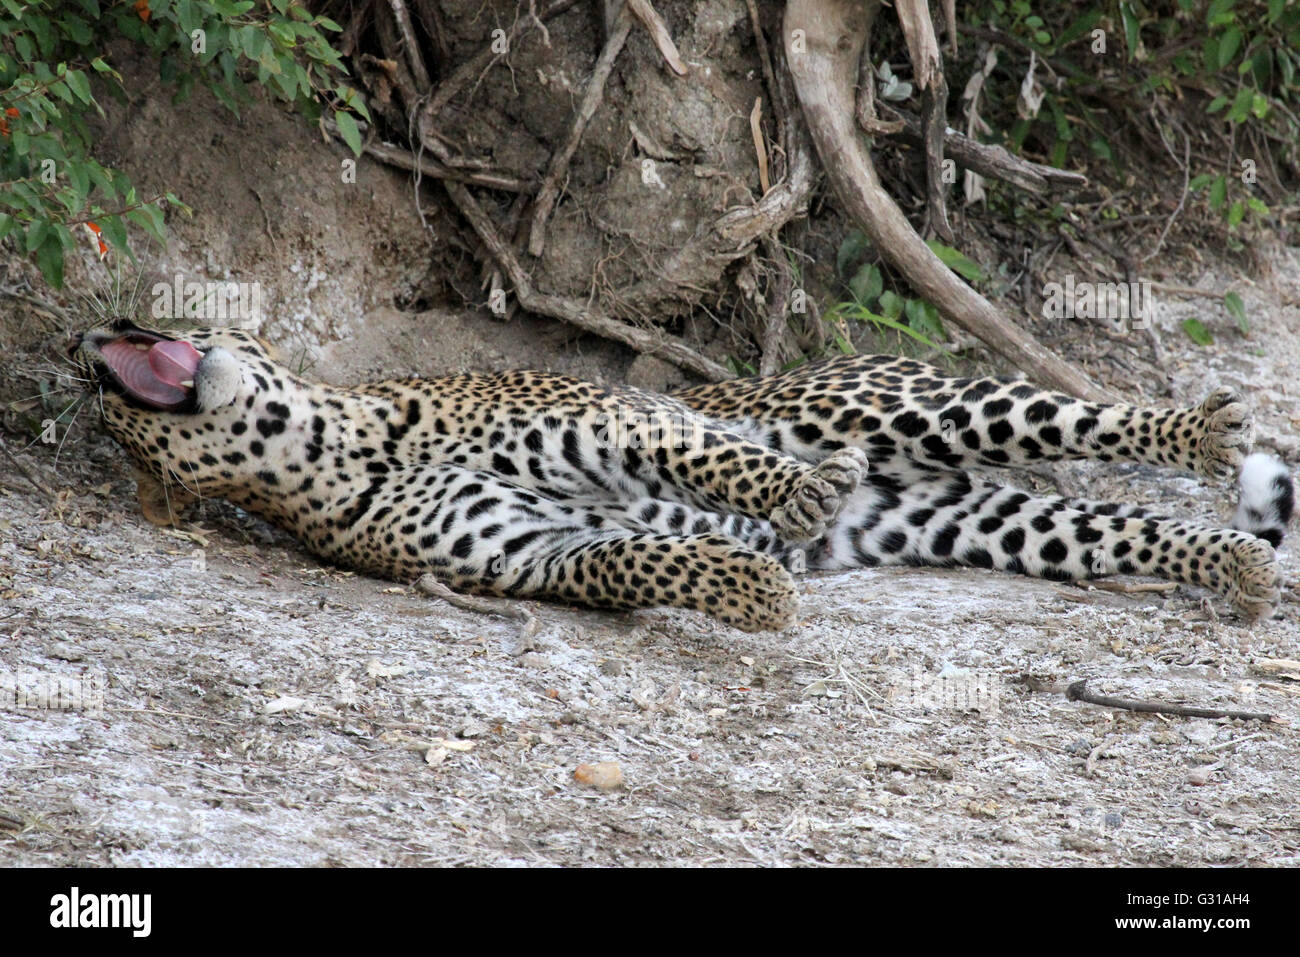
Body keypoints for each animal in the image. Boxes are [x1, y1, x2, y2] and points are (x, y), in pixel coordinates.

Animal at [68, 319, 1289, 634]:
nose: (92, 343)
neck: (328, 443)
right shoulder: (530, 558)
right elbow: (642, 558)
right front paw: (757, 590)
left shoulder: (607, 417)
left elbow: (699, 456)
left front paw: (796, 498)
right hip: (968, 519)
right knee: (1102, 522)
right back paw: (1236, 566)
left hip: (898, 407)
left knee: (1077, 416)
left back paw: (1207, 431)